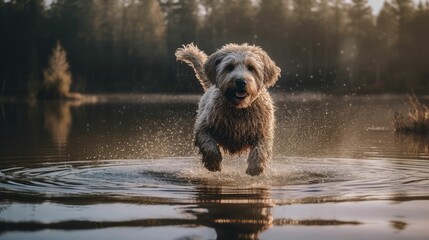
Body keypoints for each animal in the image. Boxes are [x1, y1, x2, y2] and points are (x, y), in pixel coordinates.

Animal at [175, 43, 280, 175]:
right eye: (230, 67)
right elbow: (208, 145)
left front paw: (255, 167)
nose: (241, 81)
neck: (239, 108)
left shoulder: (263, 130)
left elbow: (261, 148)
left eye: (251, 67)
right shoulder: (203, 126)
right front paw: (213, 163)